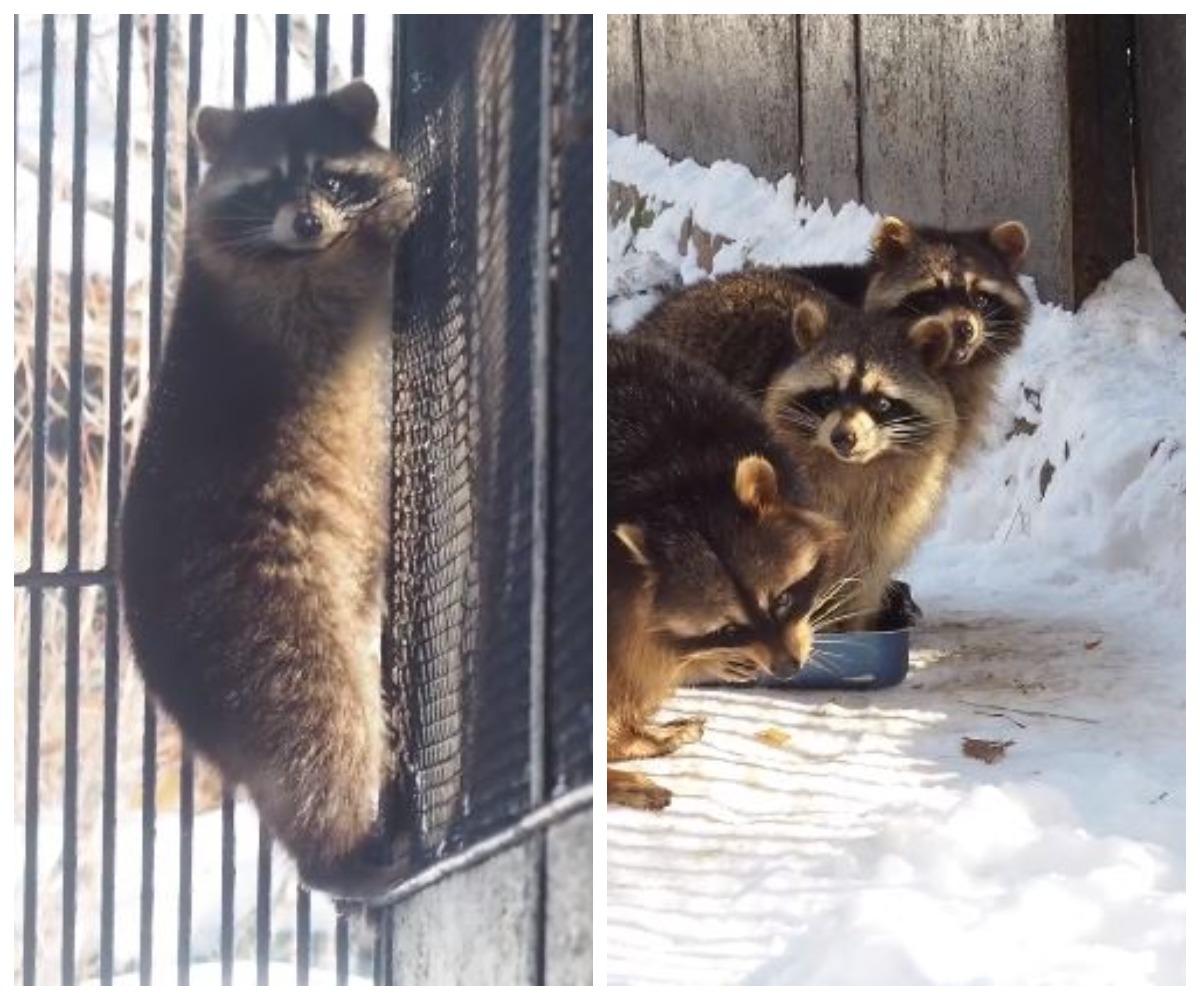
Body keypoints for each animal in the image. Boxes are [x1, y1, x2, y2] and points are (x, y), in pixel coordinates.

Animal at [118, 84, 417, 897]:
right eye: (267, 185)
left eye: (329, 176)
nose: (308, 220)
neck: (294, 251)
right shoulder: (265, 296)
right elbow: (338, 289)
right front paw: (382, 229)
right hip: (264, 627)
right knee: (320, 733)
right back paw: (339, 856)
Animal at [638, 273, 955, 629]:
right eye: (827, 398)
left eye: (882, 403)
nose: (843, 438)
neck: (852, 469)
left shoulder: (892, 504)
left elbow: (864, 564)